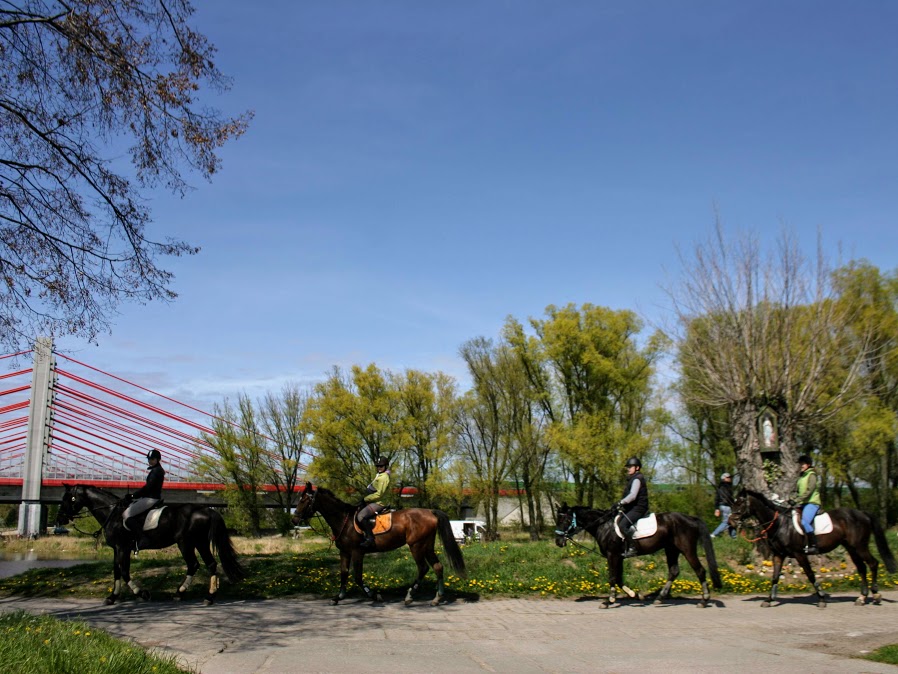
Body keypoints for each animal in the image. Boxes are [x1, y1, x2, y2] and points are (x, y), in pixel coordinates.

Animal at [56, 484, 247, 604]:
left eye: (69, 498)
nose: (60, 519)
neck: (112, 514)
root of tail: (207, 509)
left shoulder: (122, 547)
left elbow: (124, 571)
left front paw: (142, 593)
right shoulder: (117, 549)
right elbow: (117, 571)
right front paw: (112, 597)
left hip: (186, 543)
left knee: (196, 564)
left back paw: (188, 594)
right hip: (198, 543)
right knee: (208, 564)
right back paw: (202, 596)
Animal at [290, 480, 466, 608]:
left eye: (304, 500)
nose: (294, 519)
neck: (344, 520)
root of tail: (430, 512)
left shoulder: (357, 552)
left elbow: (357, 577)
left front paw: (374, 595)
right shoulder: (344, 552)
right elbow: (344, 573)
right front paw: (338, 597)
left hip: (416, 546)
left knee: (423, 568)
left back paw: (409, 596)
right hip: (427, 546)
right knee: (438, 567)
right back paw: (437, 598)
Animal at [552, 502, 720, 608]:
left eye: (565, 520)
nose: (558, 541)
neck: (603, 525)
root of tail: (691, 518)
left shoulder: (612, 555)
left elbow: (612, 577)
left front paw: (608, 601)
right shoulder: (618, 556)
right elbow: (619, 578)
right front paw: (635, 594)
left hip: (687, 550)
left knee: (700, 570)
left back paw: (704, 601)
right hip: (671, 549)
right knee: (673, 571)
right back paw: (659, 598)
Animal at [728, 486, 896, 608]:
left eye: (740, 503)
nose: (731, 522)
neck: (780, 523)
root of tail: (862, 514)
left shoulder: (799, 554)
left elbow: (810, 575)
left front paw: (821, 598)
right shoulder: (778, 555)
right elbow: (775, 577)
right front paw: (769, 600)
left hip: (860, 546)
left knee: (873, 563)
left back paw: (875, 594)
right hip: (851, 548)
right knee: (861, 568)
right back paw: (862, 597)